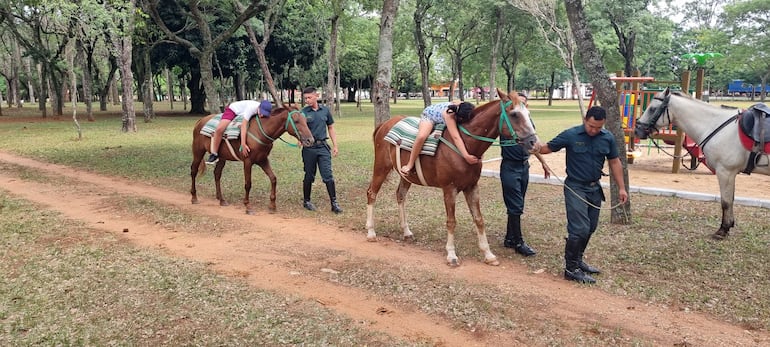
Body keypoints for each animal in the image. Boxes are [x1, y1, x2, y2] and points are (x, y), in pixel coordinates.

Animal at [364, 89, 536, 266]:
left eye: (528, 113)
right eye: (514, 114)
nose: (533, 141)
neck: (465, 145)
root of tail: (384, 125)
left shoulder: (472, 187)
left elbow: (479, 219)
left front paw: (488, 254)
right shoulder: (449, 189)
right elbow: (451, 222)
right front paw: (452, 254)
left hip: (405, 176)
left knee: (400, 195)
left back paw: (406, 231)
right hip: (381, 168)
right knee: (372, 193)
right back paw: (371, 231)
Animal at [632, 87, 768, 239]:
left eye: (652, 109)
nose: (637, 130)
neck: (715, 125)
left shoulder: (725, 172)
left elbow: (726, 202)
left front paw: (723, 229)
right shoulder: (730, 174)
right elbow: (731, 199)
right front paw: (729, 226)